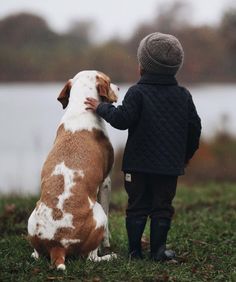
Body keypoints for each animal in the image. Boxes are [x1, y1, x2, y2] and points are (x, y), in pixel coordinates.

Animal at [27, 70, 119, 268]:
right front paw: (107, 245)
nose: (119, 88)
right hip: (99, 214)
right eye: (108, 81)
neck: (80, 108)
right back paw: (109, 256)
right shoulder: (106, 182)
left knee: (37, 254)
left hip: (31, 219)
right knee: (91, 257)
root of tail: (57, 245)